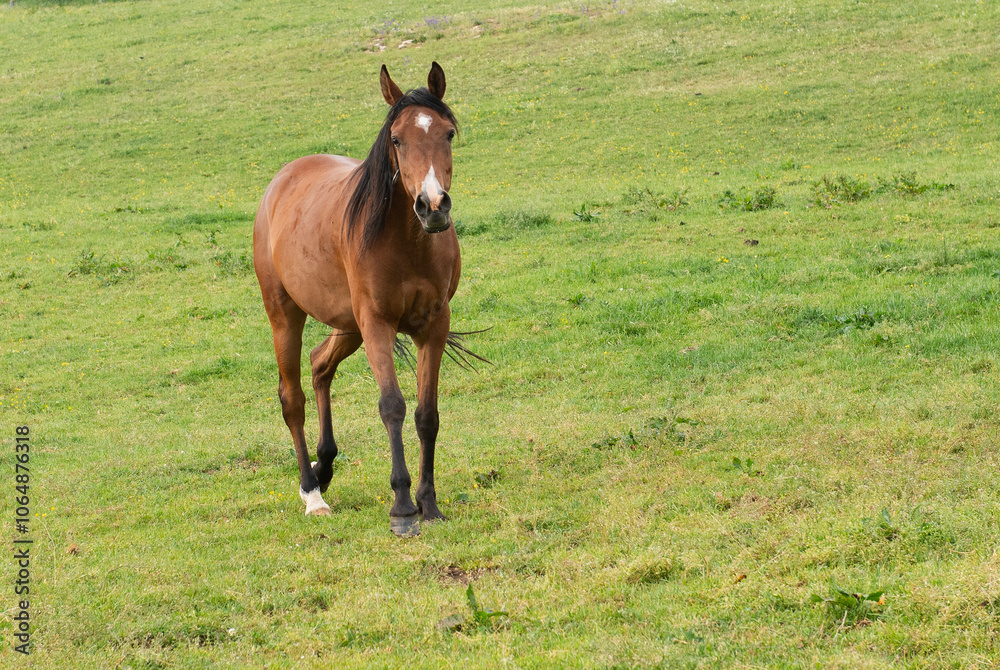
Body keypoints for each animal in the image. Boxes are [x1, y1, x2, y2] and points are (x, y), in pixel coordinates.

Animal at [253, 62, 466, 537]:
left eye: (448, 133)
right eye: (396, 139)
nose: (433, 206)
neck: (409, 243)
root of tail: (282, 179)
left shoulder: (433, 326)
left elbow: (427, 414)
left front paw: (430, 504)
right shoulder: (377, 325)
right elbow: (393, 406)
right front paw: (403, 507)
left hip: (346, 325)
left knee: (319, 364)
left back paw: (325, 466)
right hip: (287, 317)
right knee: (292, 399)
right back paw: (312, 492)